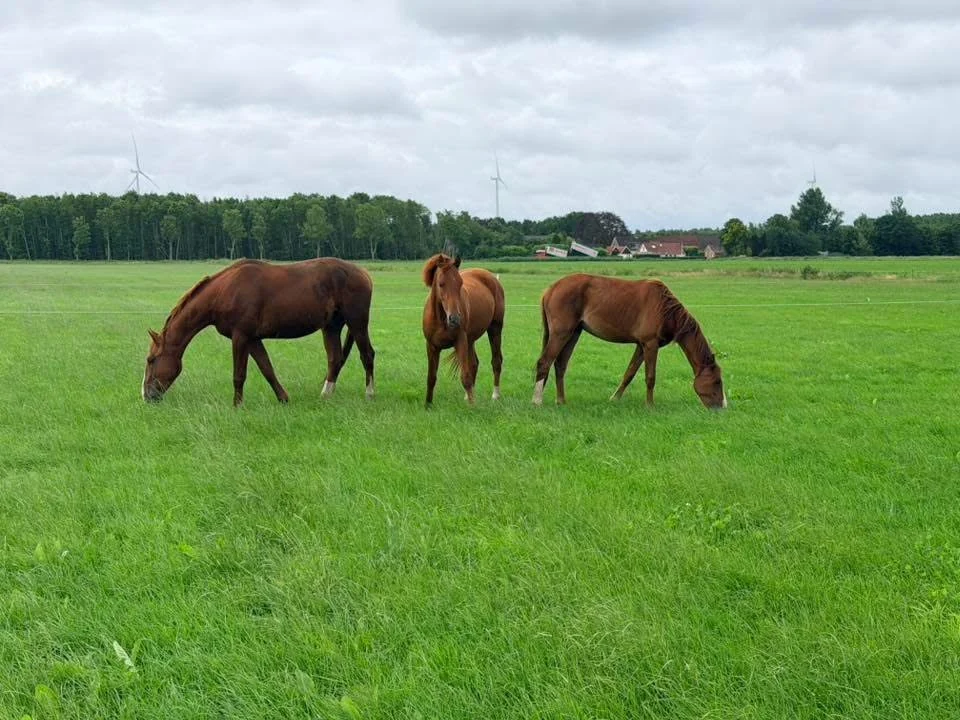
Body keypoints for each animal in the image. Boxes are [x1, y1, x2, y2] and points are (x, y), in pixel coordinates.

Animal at [142, 258, 376, 406]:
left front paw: (237, 406)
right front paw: (283, 399)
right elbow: (267, 369)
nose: (146, 395)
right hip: (332, 326)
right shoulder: (253, 339)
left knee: (367, 355)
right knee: (335, 359)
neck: (224, 292)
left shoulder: (240, 337)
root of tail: (363, 273)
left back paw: (370, 394)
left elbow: (239, 375)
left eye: (151, 360)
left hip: (357, 322)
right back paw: (326, 395)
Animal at [421, 253, 505, 406]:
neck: (441, 319)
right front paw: (428, 405)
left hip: (495, 329)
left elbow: (465, 376)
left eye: (460, 283)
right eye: (441, 284)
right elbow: (431, 377)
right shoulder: (431, 346)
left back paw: (495, 395)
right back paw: (468, 395)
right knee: (474, 364)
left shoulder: (460, 341)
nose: (455, 319)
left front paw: (473, 406)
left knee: (496, 361)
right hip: (470, 340)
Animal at [533, 274, 726, 409]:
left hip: (573, 334)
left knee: (560, 365)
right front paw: (650, 406)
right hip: (561, 334)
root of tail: (550, 289)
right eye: (717, 381)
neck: (665, 310)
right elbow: (650, 377)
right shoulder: (650, 344)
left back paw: (561, 401)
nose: (722, 408)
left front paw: (614, 398)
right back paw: (537, 401)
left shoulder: (641, 346)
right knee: (544, 362)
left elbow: (629, 373)